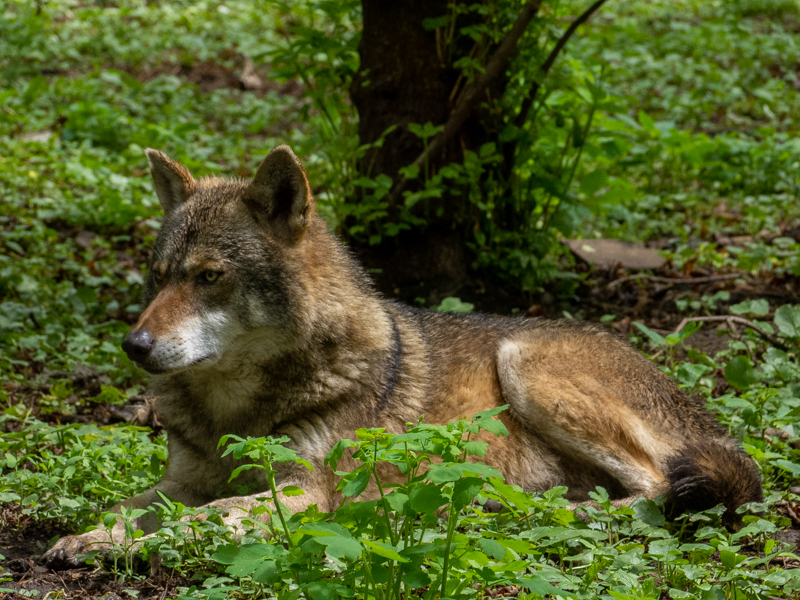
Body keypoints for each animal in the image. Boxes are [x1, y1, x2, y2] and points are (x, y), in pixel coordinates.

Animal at [44, 146, 761, 565]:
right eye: (159, 277)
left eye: (210, 277)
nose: (134, 345)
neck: (236, 413)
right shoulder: (180, 483)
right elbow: (125, 508)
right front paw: (88, 537)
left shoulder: (298, 499)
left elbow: (196, 523)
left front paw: (111, 548)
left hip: (525, 366)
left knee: (656, 489)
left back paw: (549, 512)